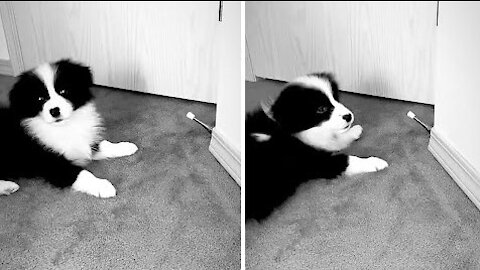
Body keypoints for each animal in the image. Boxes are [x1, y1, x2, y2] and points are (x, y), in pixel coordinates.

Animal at [0, 59, 139, 198]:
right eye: (40, 98)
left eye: (63, 91)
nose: (54, 111)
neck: (65, 126)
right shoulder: (52, 163)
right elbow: (82, 174)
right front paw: (102, 186)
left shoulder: (83, 142)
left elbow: (103, 145)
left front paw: (125, 146)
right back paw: (8, 186)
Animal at [246, 72, 388, 221]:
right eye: (321, 109)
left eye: (335, 98)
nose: (348, 116)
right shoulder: (314, 162)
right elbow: (348, 159)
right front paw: (375, 162)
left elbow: (333, 140)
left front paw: (354, 130)